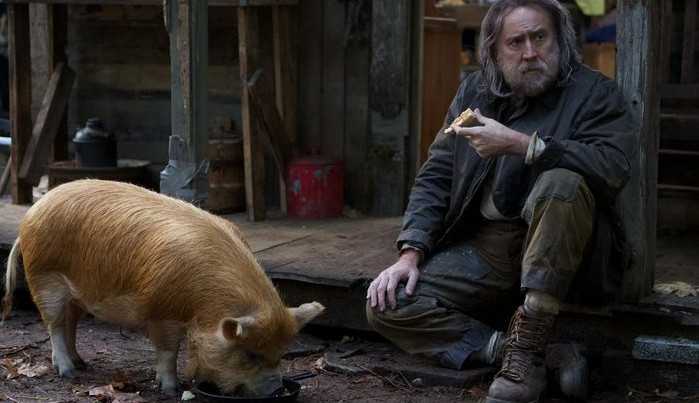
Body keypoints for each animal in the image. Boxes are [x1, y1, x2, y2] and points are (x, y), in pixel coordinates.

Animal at [2, 179, 324, 396]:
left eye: (280, 354)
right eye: (251, 354)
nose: (275, 390)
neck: (204, 305)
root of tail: (30, 215)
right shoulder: (161, 311)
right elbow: (169, 351)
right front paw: (171, 389)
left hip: (76, 294)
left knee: (71, 323)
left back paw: (81, 364)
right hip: (44, 277)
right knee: (54, 324)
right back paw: (67, 373)